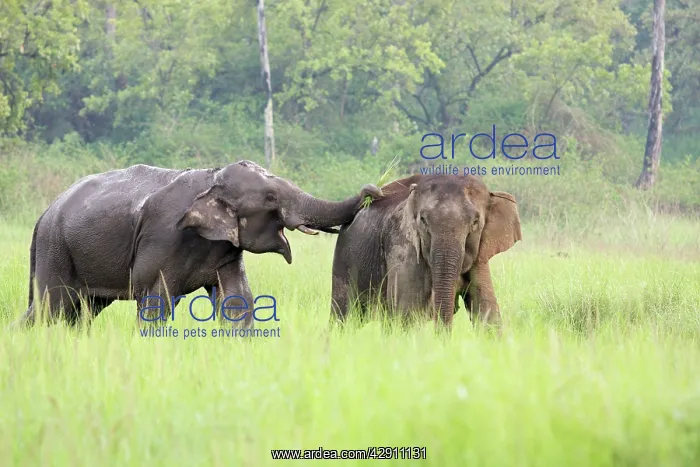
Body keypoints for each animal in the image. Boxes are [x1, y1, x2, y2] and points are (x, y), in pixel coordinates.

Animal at [16, 160, 382, 328]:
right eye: (270, 197)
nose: (373, 190)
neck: (213, 177)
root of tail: (43, 214)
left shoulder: (224, 251)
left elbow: (238, 300)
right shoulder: (161, 241)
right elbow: (156, 302)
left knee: (81, 311)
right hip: (56, 250)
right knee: (53, 307)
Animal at [330, 173, 521, 330]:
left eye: (475, 222)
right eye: (423, 220)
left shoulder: (479, 256)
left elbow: (488, 311)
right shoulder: (403, 247)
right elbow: (406, 313)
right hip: (345, 258)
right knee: (343, 315)